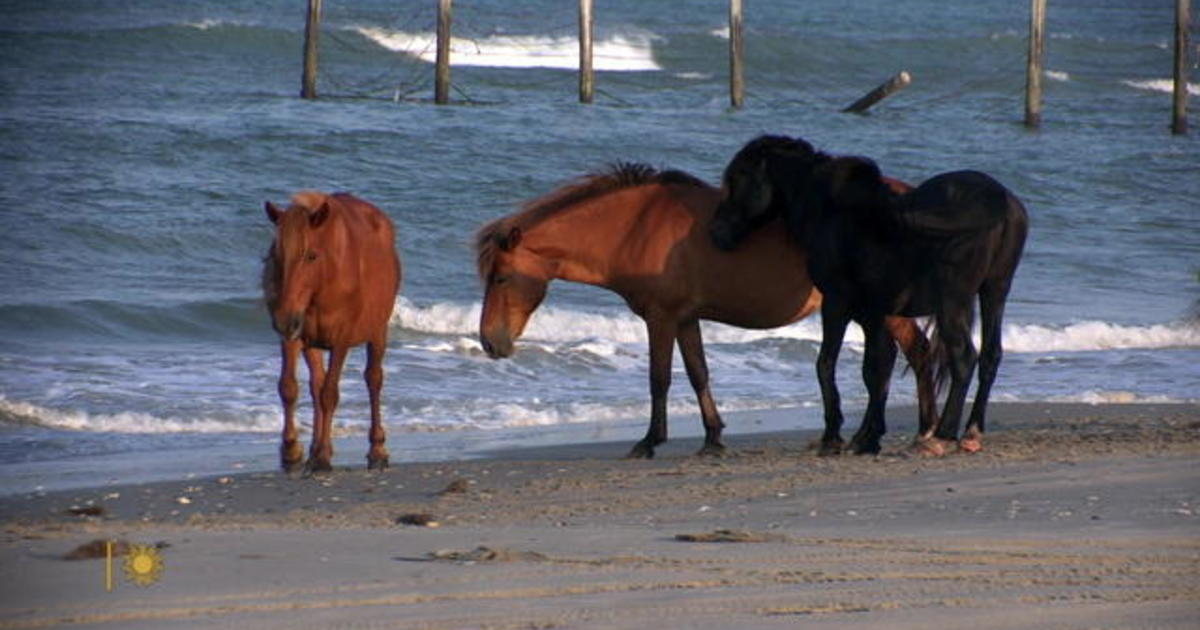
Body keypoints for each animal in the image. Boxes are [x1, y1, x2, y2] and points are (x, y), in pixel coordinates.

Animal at [264, 192, 403, 470]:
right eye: (276, 255)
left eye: (311, 256)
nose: (283, 319)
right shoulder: (295, 336)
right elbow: (289, 388)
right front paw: (292, 450)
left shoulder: (341, 338)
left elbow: (330, 394)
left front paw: (321, 457)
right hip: (312, 343)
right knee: (315, 385)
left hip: (378, 331)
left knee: (373, 380)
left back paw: (377, 449)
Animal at [475, 162, 936, 456]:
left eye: (500, 278)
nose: (490, 343)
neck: (633, 229)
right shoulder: (686, 318)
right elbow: (698, 374)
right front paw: (713, 438)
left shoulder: (661, 318)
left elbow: (659, 378)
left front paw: (649, 441)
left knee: (908, 355)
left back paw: (904, 432)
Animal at [710, 135, 1032, 453]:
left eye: (738, 177)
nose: (717, 234)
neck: (831, 211)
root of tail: (998, 199)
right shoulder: (873, 312)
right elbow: (877, 370)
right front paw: (868, 437)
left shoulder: (838, 303)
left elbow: (830, 364)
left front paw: (835, 436)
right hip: (995, 290)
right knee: (990, 355)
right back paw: (971, 432)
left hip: (952, 302)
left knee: (964, 357)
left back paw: (942, 435)